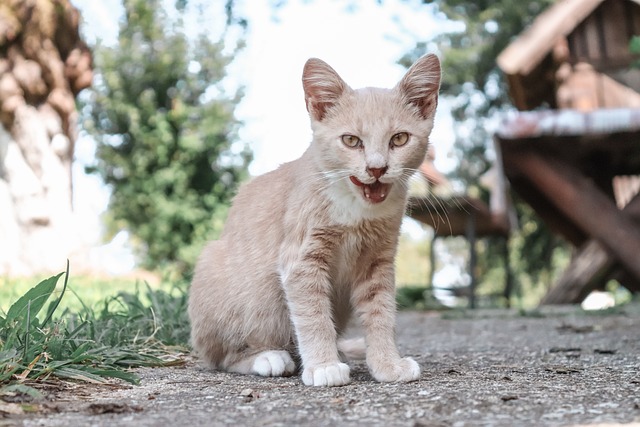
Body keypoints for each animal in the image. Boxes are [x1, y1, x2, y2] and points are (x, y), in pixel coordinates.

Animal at [188, 53, 442, 388]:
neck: (356, 209)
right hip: (236, 289)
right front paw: (324, 366)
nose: (376, 168)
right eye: (351, 140)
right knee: (221, 357)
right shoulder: (301, 259)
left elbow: (381, 313)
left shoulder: (378, 261)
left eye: (399, 139)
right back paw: (269, 357)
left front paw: (386, 363)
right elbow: (313, 315)